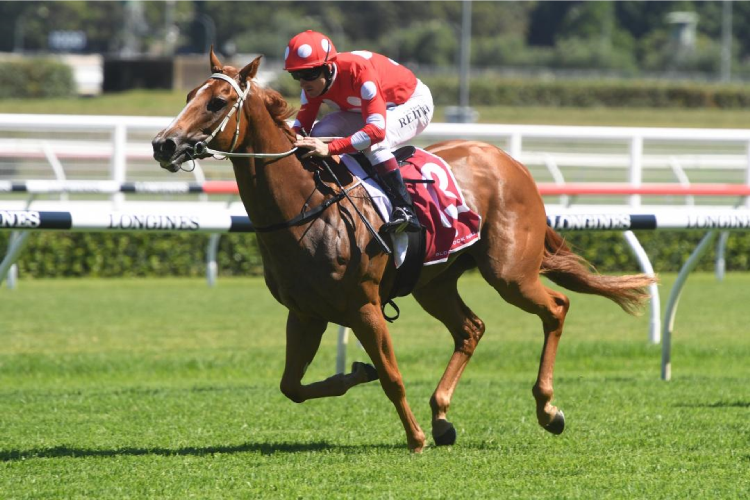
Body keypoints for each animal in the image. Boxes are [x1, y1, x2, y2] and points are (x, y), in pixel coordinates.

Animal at [151, 51, 652, 454]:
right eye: (190, 94)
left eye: (217, 102)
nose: (164, 143)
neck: (305, 207)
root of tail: (510, 161)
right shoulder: (305, 312)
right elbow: (291, 386)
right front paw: (357, 374)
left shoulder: (364, 305)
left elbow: (391, 376)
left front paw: (414, 439)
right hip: (435, 281)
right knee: (471, 328)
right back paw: (443, 416)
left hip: (509, 271)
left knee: (556, 307)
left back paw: (547, 410)